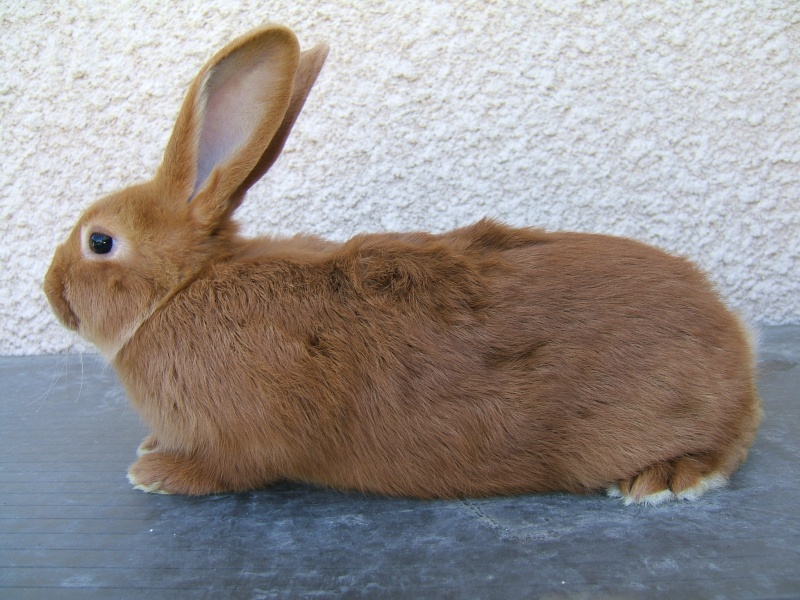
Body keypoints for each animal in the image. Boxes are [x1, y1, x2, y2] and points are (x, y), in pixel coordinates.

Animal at [43, 23, 764, 504]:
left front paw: (154, 473)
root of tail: (733, 339)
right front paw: (150, 451)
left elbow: (225, 470)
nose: (49, 291)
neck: (182, 289)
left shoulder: (238, 440)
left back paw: (667, 478)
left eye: (99, 242)